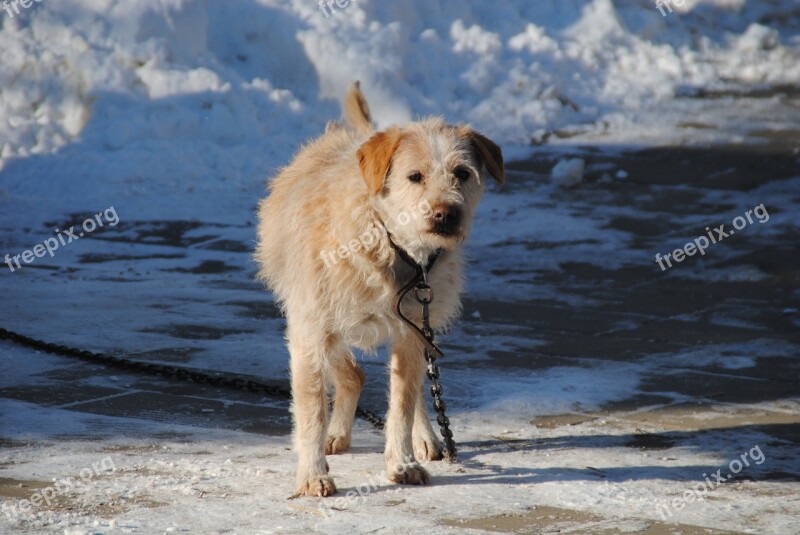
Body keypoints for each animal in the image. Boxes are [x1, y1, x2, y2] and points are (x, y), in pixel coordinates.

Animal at [256, 82, 504, 498]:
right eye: (414, 176)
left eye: (462, 173)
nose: (446, 214)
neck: (389, 245)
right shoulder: (310, 331)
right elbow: (311, 410)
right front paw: (312, 474)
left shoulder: (410, 333)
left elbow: (402, 405)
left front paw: (402, 462)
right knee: (352, 375)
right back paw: (337, 432)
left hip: (419, 330)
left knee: (411, 386)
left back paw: (425, 437)